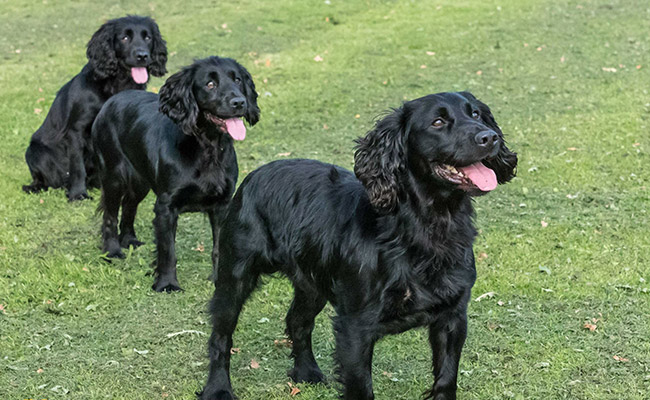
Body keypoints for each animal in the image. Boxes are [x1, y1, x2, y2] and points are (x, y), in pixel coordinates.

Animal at [23, 15, 167, 200]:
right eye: (124, 38)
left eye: (147, 37)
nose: (142, 55)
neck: (115, 85)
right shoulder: (76, 131)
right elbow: (77, 166)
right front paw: (77, 194)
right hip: (35, 152)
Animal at [92, 56, 260, 292]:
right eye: (210, 84)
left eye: (237, 79)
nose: (239, 102)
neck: (206, 148)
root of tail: (112, 100)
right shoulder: (166, 206)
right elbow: (167, 250)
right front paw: (167, 283)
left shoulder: (223, 204)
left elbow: (219, 247)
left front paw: (220, 280)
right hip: (113, 175)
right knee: (110, 214)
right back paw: (113, 251)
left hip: (139, 181)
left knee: (129, 206)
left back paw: (130, 240)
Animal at [200, 91, 512, 400]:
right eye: (437, 122)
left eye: (475, 114)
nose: (490, 137)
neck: (426, 226)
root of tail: (255, 175)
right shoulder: (356, 327)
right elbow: (361, 387)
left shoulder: (452, 318)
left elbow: (446, 380)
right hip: (235, 277)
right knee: (220, 338)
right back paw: (218, 388)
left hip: (311, 284)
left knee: (298, 322)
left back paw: (307, 372)